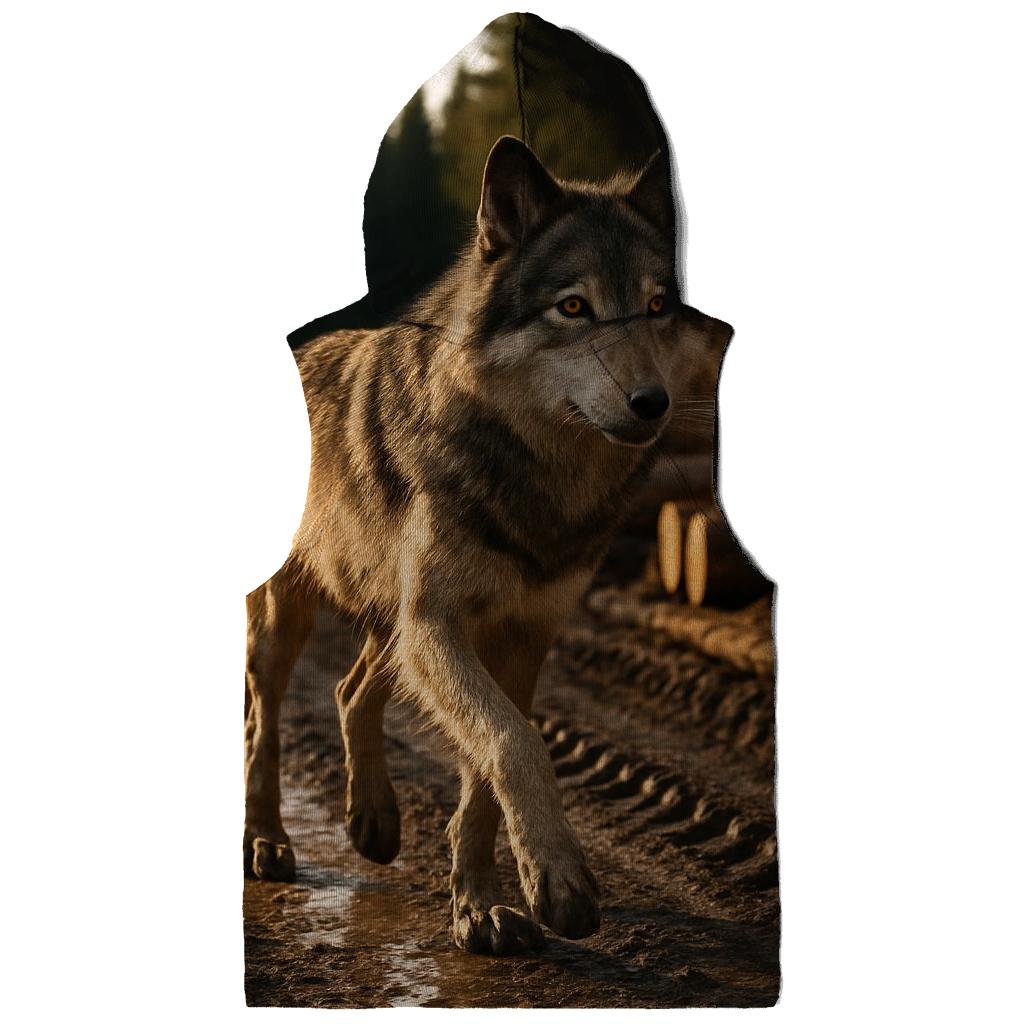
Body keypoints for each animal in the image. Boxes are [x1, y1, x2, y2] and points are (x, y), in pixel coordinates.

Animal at [244, 135, 733, 955]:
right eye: (574, 307)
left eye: (656, 308)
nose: (653, 405)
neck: (535, 480)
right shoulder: (440, 624)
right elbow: (512, 744)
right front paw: (556, 882)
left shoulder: (521, 631)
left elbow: (483, 775)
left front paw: (481, 905)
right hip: (294, 619)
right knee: (263, 720)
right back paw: (267, 842)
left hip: (392, 622)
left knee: (350, 691)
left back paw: (373, 820)